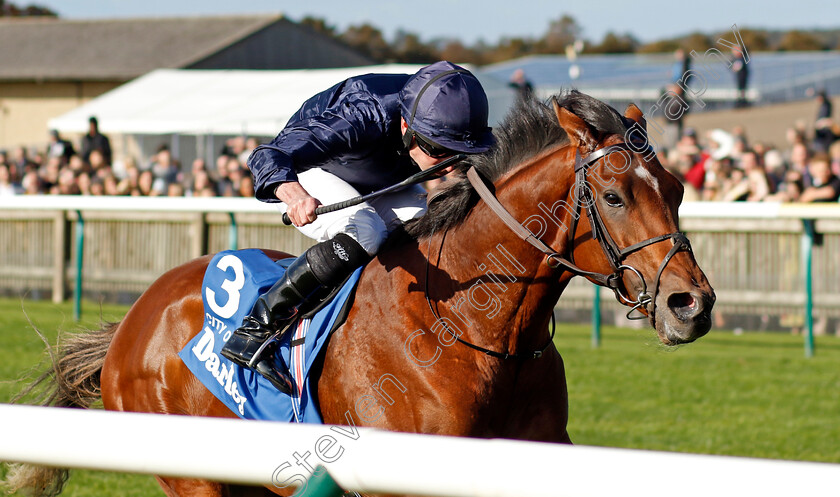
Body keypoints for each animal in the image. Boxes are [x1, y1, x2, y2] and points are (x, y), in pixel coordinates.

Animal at [4, 91, 716, 494]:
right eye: (615, 196)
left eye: (677, 187)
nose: (692, 305)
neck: (475, 327)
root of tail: (132, 322)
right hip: (193, 478)